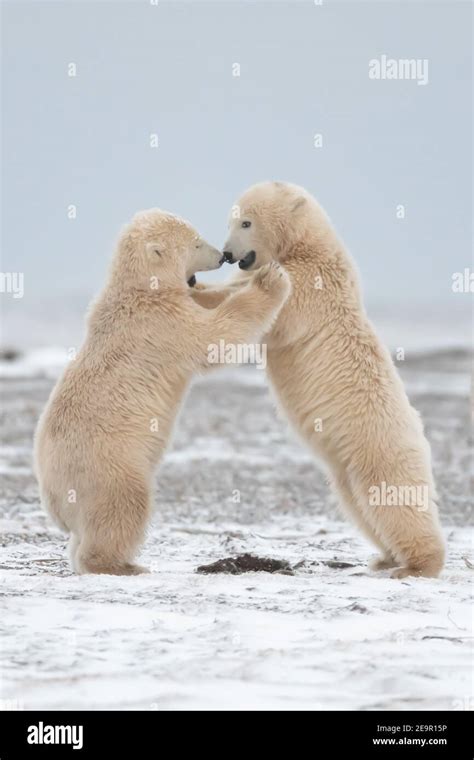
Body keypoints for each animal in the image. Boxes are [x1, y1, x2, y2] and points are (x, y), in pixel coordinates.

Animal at [33, 209, 290, 576]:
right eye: (196, 243)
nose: (222, 256)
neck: (139, 288)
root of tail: (53, 500)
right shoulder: (162, 323)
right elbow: (214, 338)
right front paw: (271, 279)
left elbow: (207, 304)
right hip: (109, 465)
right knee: (124, 505)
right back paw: (123, 565)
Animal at [193, 181, 444, 580]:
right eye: (232, 220)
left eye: (246, 222)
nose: (229, 254)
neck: (307, 246)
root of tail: (419, 433)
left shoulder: (311, 284)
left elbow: (270, 311)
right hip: (346, 466)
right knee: (359, 504)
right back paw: (386, 557)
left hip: (379, 444)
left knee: (393, 496)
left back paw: (417, 566)